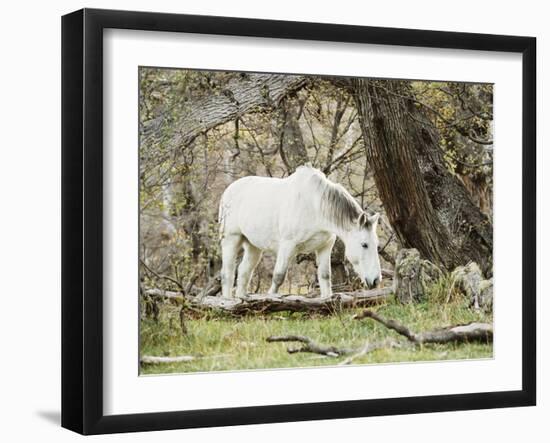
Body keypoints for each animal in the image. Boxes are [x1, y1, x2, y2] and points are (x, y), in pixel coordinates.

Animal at [218, 166, 382, 298]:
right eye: (364, 245)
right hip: (231, 239)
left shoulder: (325, 246)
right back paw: (227, 301)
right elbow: (278, 276)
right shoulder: (287, 246)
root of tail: (228, 190)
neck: (315, 206)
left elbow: (325, 276)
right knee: (228, 273)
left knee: (244, 272)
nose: (376, 280)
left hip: (253, 247)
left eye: (376, 245)